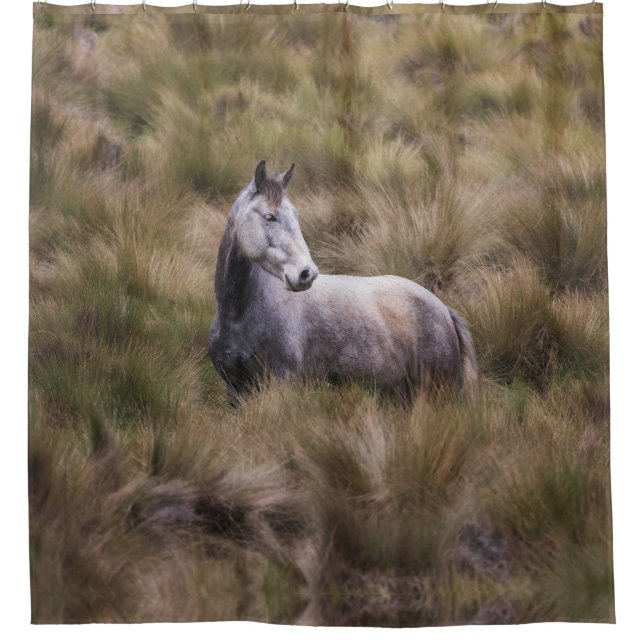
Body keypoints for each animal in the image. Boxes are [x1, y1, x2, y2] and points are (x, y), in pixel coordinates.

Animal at [208, 161, 477, 404]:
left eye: (296, 215)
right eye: (270, 216)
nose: (307, 274)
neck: (238, 315)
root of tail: (443, 310)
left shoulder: (283, 383)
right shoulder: (235, 389)